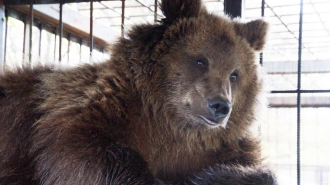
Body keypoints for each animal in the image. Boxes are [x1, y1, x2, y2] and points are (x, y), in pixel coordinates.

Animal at [0, 0, 276, 184]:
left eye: (234, 74)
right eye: (201, 61)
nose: (220, 106)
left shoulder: (224, 148)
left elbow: (260, 171)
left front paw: (218, 176)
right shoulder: (88, 112)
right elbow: (88, 152)